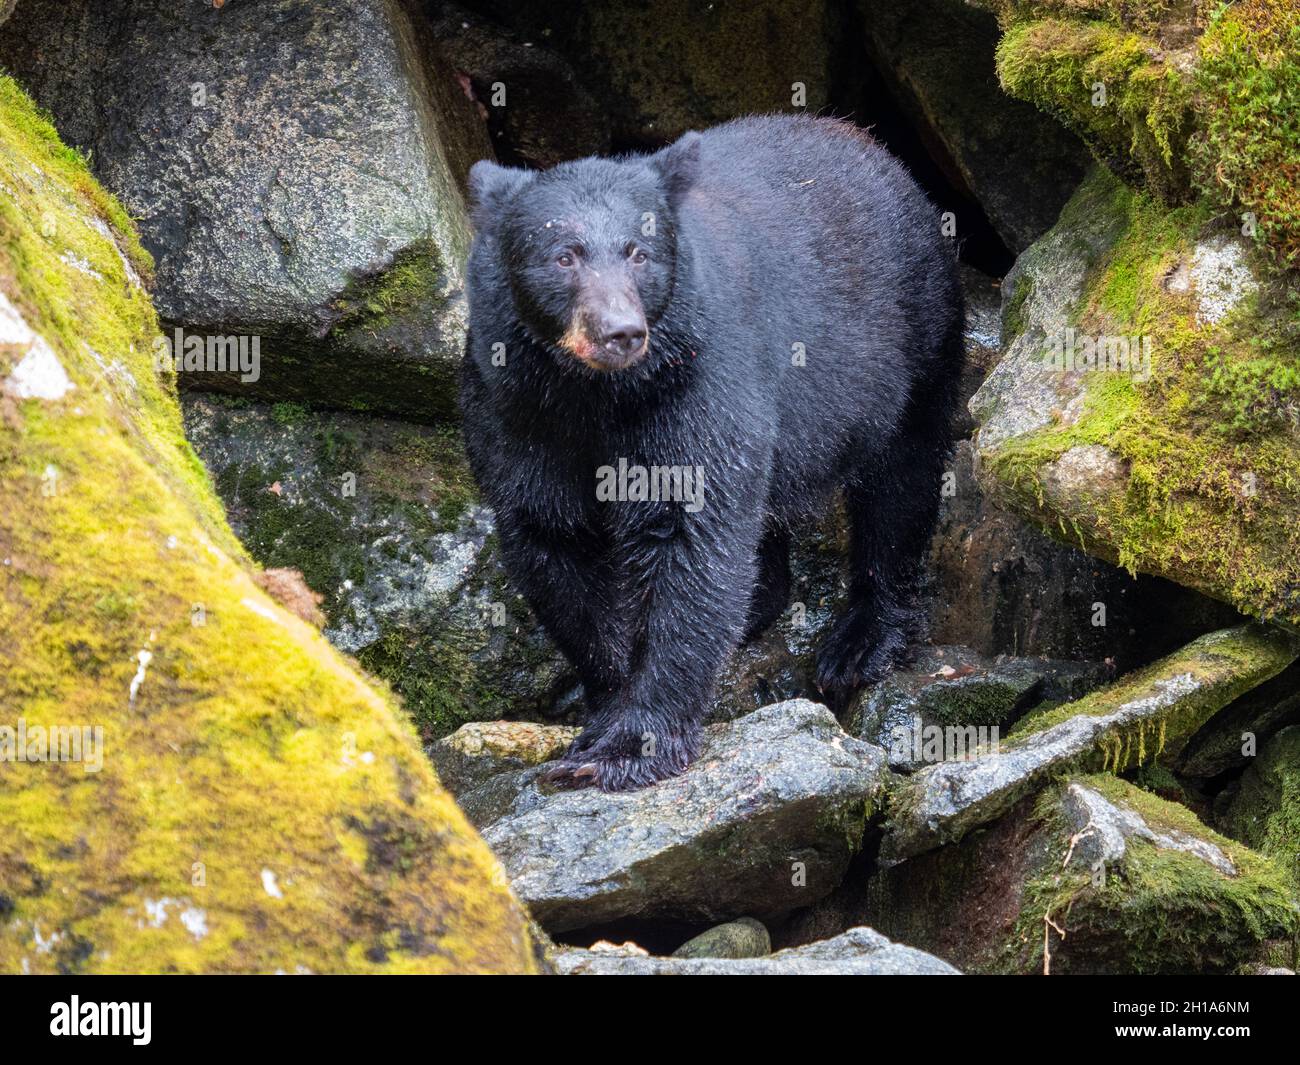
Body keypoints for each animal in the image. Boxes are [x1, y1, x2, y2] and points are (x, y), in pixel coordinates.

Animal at [461, 113, 965, 791]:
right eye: (562, 255)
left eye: (639, 251)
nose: (621, 332)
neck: (596, 395)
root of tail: (871, 145)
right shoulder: (513, 407)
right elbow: (552, 543)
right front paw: (603, 708)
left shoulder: (699, 378)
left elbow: (691, 537)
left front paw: (628, 747)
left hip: (911, 336)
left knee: (900, 481)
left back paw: (862, 640)